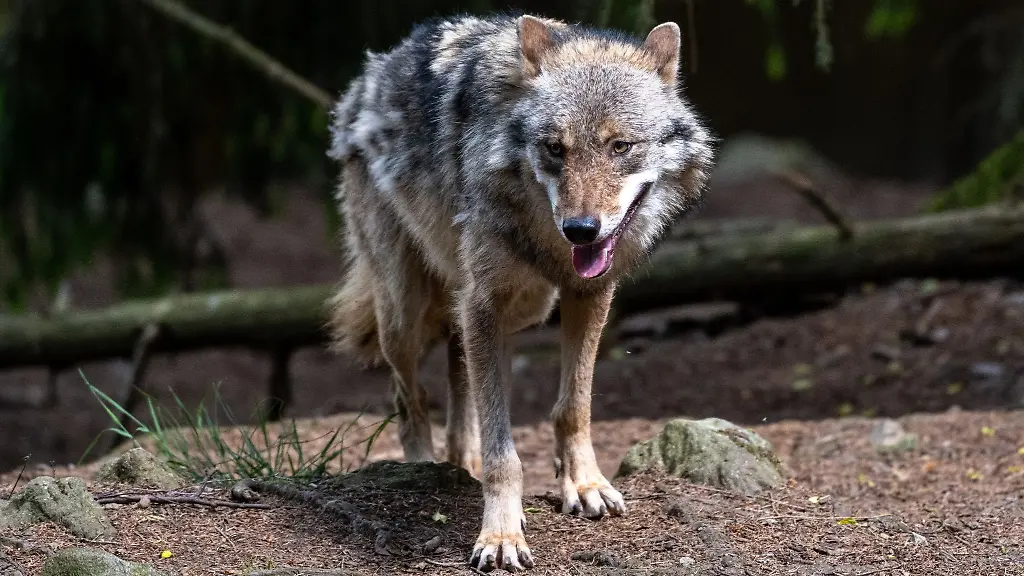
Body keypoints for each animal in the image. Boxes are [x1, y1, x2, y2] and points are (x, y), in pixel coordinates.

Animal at [326, 12, 714, 572]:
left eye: (620, 146)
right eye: (555, 148)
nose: (581, 230)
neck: (546, 243)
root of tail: (364, 81)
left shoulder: (587, 294)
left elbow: (573, 407)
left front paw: (585, 485)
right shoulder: (483, 304)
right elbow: (502, 451)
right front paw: (501, 534)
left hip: (507, 312)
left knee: (458, 385)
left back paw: (458, 466)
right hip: (405, 315)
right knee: (409, 396)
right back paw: (423, 468)